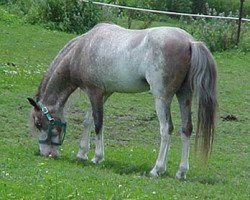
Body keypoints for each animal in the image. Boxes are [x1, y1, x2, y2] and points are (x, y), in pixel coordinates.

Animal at [27, 22, 217, 179]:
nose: (47, 153)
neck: (81, 50)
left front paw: (97, 157)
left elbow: (98, 124)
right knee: (186, 129)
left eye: (38, 123)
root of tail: (190, 42)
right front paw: (82, 153)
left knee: (166, 129)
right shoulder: (104, 93)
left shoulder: (94, 92)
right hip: (184, 95)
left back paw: (157, 169)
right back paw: (181, 172)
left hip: (162, 98)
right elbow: (88, 120)